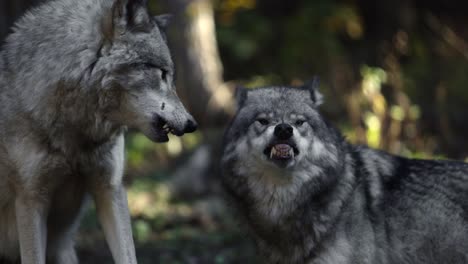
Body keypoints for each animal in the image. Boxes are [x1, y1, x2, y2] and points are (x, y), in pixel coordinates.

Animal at [0, 0, 196, 262]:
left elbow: (128, 255)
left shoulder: (110, 190)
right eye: (162, 73)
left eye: (171, 75)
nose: (192, 124)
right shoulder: (31, 202)